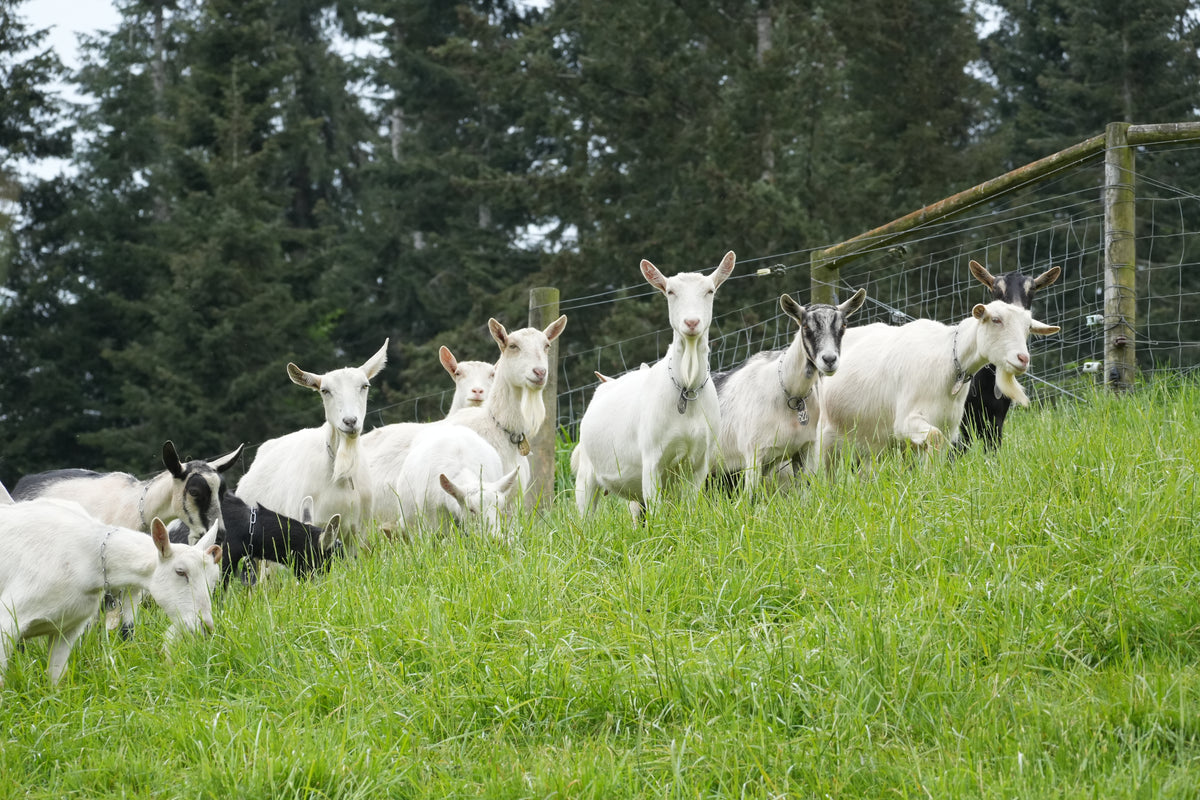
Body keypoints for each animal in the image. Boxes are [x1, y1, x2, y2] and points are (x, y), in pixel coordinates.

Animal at [0, 497, 221, 689]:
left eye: (213, 579)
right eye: (180, 571)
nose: (206, 627)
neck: (88, 558)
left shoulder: (67, 629)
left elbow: (55, 679)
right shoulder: (8, 620)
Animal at [573, 251, 736, 519]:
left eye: (710, 290)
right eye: (670, 291)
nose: (692, 322)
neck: (686, 386)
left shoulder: (699, 463)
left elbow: (689, 509)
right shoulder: (652, 460)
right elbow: (657, 513)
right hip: (587, 476)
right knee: (586, 515)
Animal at [712, 288, 866, 492]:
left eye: (843, 325)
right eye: (806, 327)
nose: (829, 360)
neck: (791, 393)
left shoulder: (804, 449)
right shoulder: (753, 454)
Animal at [818, 300, 1059, 467]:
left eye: (1028, 328)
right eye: (996, 320)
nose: (1022, 358)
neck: (948, 359)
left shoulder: (949, 426)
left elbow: (941, 446)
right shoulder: (905, 422)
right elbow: (935, 439)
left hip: (871, 441)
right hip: (824, 435)